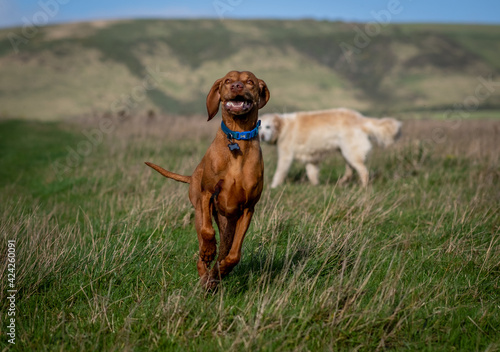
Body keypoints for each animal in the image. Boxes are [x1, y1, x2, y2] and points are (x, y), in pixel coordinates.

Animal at [145, 71, 270, 288]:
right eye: (228, 80)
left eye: (250, 81)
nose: (237, 86)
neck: (237, 138)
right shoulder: (207, 194)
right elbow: (207, 233)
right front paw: (208, 253)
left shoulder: (248, 209)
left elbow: (234, 255)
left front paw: (223, 269)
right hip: (199, 210)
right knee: (203, 245)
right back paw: (205, 270)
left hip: (229, 222)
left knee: (225, 249)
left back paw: (214, 276)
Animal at [260, 108, 400, 188]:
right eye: (259, 127)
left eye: (268, 127)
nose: (261, 136)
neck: (283, 127)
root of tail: (360, 118)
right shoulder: (311, 159)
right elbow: (312, 173)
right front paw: (316, 186)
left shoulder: (286, 156)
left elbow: (279, 173)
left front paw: (273, 186)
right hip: (346, 152)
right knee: (350, 171)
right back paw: (342, 182)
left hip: (350, 152)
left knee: (363, 171)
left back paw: (363, 187)